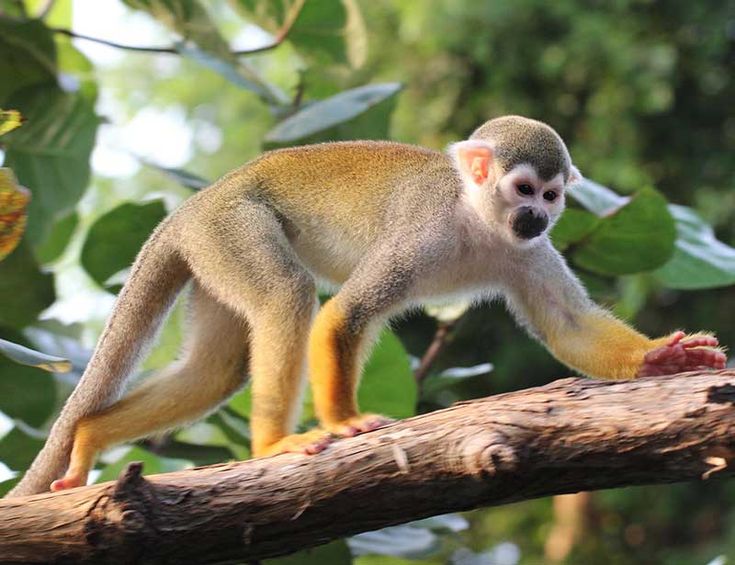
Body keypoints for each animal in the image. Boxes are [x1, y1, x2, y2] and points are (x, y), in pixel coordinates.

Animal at [8, 114, 728, 494]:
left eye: (552, 197)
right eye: (523, 188)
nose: (535, 215)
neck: (478, 223)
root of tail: (191, 206)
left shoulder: (529, 252)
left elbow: (567, 324)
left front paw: (661, 360)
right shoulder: (423, 233)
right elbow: (344, 315)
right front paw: (347, 421)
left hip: (210, 255)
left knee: (215, 370)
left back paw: (91, 434)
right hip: (232, 227)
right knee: (286, 296)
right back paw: (272, 443)